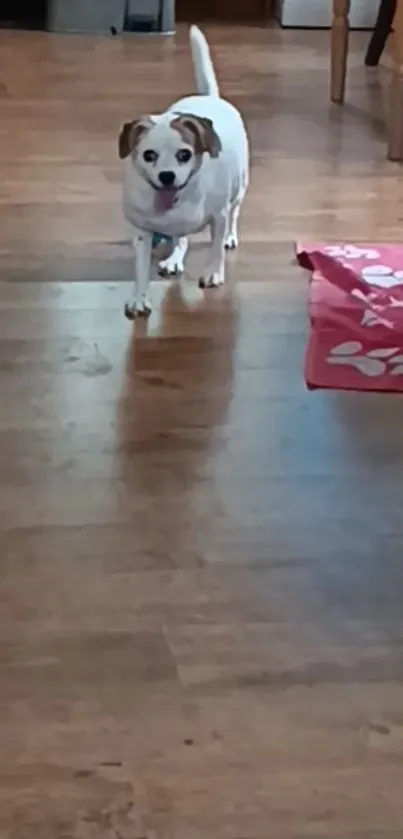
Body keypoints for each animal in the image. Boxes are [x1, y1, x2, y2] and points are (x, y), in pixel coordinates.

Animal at [118, 23, 249, 318]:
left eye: (184, 154)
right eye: (149, 155)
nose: (167, 176)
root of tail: (210, 97)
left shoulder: (218, 217)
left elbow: (215, 250)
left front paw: (213, 273)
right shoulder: (142, 233)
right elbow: (141, 270)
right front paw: (139, 298)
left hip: (239, 190)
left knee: (233, 216)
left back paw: (230, 237)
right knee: (181, 239)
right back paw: (174, 259)